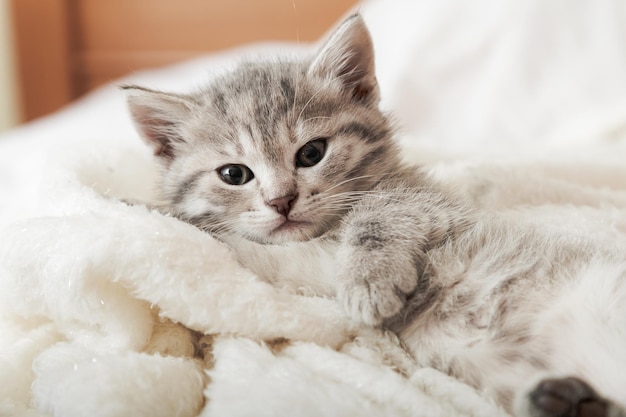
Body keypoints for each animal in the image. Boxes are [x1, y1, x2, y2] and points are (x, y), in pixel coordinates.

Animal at [124, 14, 624, 416]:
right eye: (234, 174)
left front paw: (369, 283)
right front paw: (140, 208)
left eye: (311, 153)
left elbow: (378, 215)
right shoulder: (286, 270)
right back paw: (567, 400)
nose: (281, 200)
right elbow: (225, 243)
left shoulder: (424, 203)